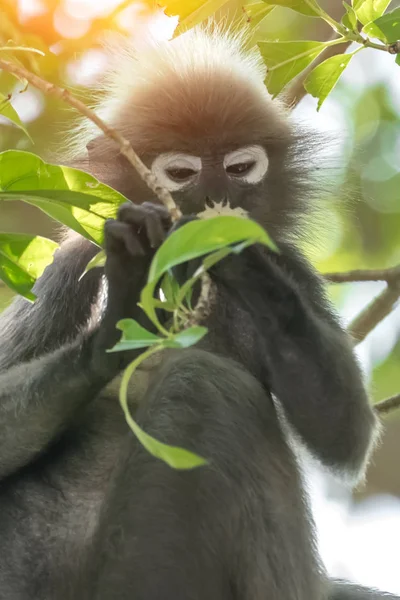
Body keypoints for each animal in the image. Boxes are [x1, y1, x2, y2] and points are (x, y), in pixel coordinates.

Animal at [0, 24, 396, 600]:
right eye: (182, 172)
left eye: (239, 167)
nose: (214, 199)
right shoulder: (69, 267)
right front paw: (116, 326)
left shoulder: (293, 264)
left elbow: (344, 432)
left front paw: (241, 258)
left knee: (206, 382)